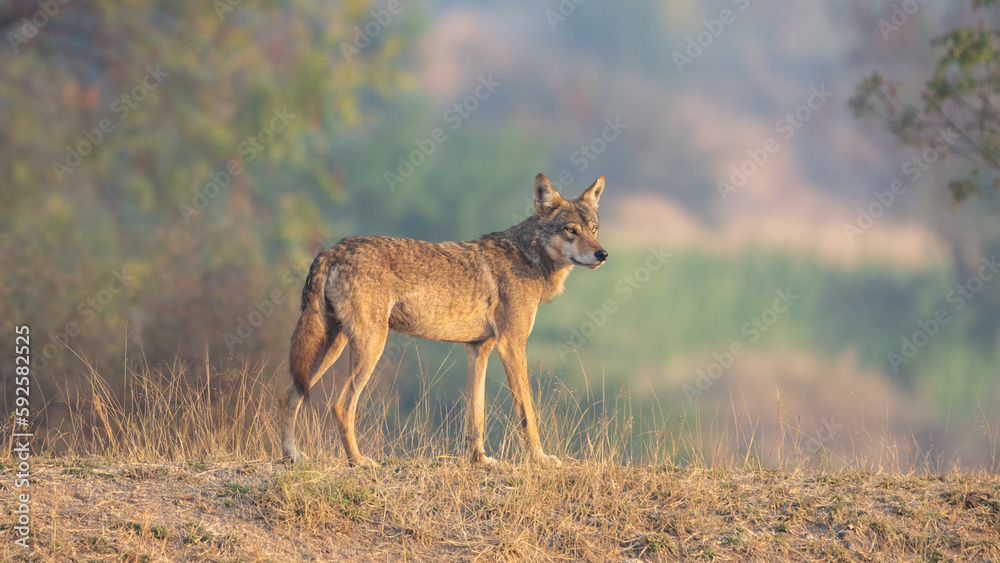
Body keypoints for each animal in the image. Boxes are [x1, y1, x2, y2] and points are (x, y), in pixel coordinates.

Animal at [279, 173, 607, 467]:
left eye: (593, 229)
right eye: (570, 230)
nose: (602, 254)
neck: (529, 258)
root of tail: (332, 250)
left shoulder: (479, 348)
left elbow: (476, 414)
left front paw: (480, 460)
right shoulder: (511, 345)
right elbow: (527, 412)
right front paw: (540, 459)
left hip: (330, 348)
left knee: (289, 396)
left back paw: (292, 456)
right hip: (370, 346)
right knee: (340, 406)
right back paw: (358, 461)